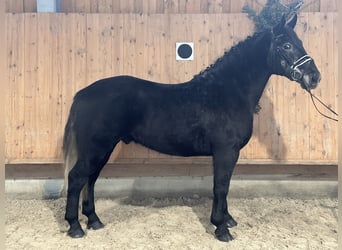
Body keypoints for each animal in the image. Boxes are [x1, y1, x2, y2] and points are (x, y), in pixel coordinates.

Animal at [63, 14, 320, 242]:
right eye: (287, 45)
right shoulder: (226, 151)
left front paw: (227, 220)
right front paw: (221, 229)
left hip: (102, 150)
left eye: (300, 42)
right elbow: (221, 186)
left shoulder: (228, 153)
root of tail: (82, 94)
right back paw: (75, 227)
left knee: (90, 179)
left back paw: (94, 220)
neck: (227, 93)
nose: (314, 77)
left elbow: (225, 185)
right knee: (76, 178)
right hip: (96, 149)